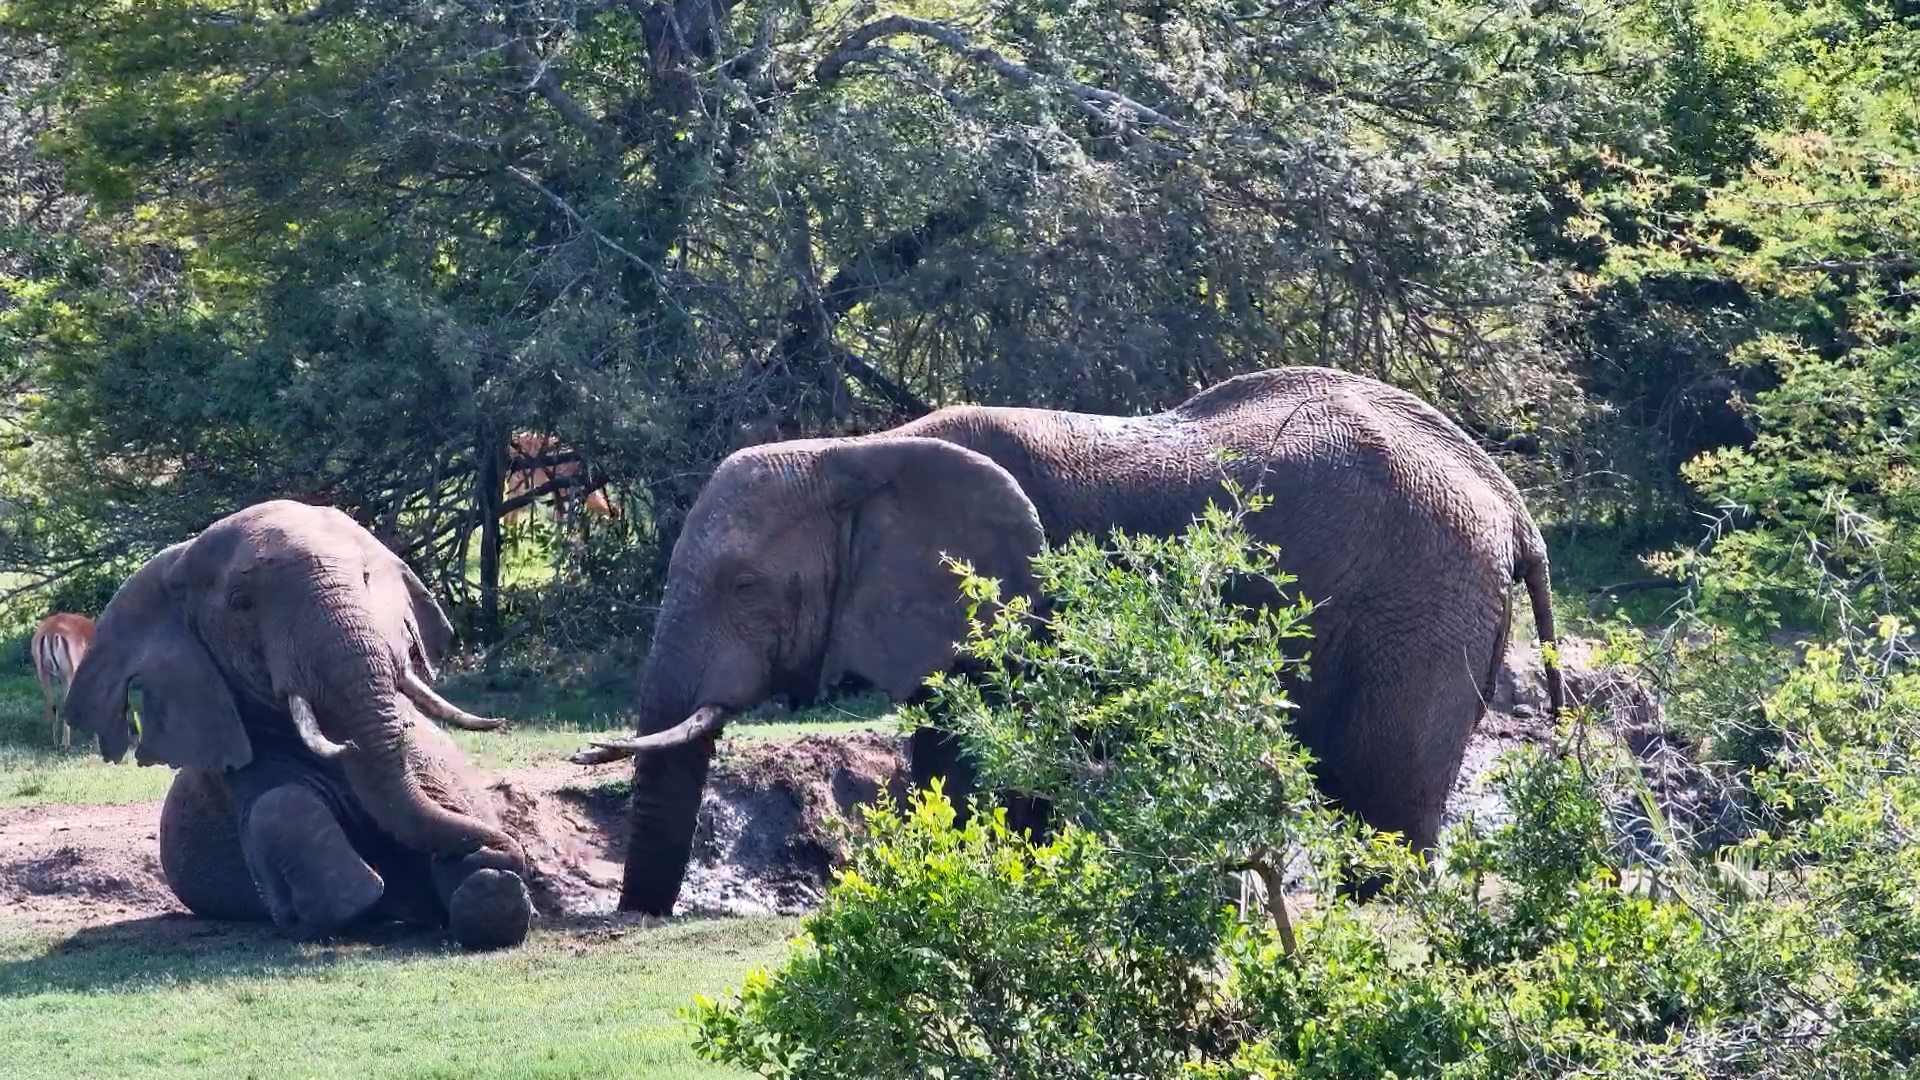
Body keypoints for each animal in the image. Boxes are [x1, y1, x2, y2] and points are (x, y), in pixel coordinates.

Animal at [63, 500, 535, 949]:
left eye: (366, 578)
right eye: (241, 603)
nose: (502, 851)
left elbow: (443, 800)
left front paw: (489, 881)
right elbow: (279, 806)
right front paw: (367, 900)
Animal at [589, 365, 1566, 915]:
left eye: (746, 587)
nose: (641, 920)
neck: (855, 450)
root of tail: (1506, 496)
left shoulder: (1017, 599)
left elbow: (981, 764)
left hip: (1421, 598)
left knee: (1378, 794)